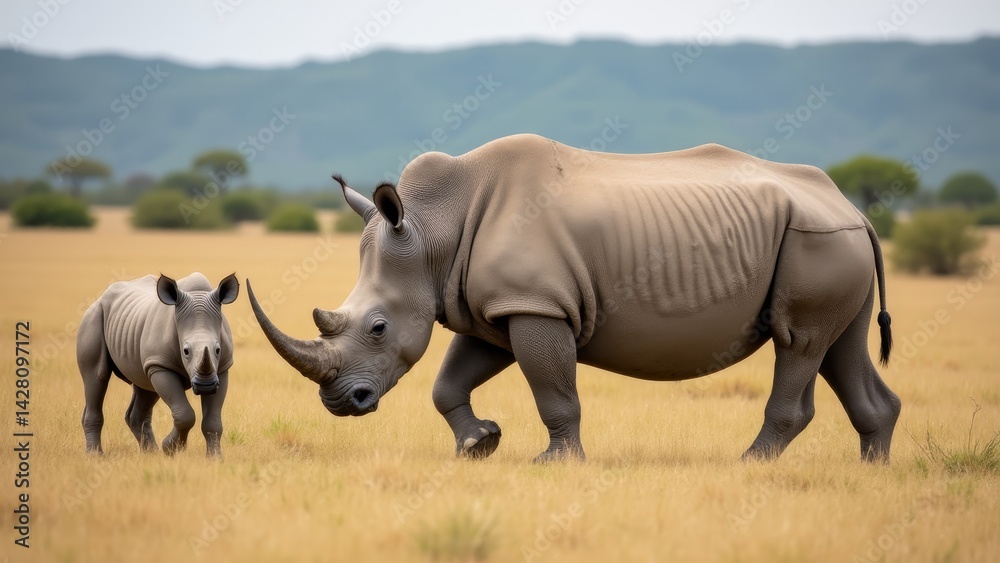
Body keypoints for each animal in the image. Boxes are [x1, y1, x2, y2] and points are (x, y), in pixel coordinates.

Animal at [77, 273, 239, 456]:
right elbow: (185, 414)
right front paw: (171, 449)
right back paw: (95, 456)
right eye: (186, 351)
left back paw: (151, 454)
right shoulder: (160, 365)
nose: (206, 386)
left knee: (145, 387)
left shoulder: (222, 368)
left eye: (218, 350)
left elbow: (213, 420)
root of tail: (98, 299)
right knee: (97, 376)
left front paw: (215, 458)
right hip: (94, 316)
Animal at [248, 134, 901, 463]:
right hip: (830, 240)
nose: (343, 403)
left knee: (801, 342)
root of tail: (851, 206)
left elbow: (554, 390)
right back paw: (872, 471)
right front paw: (479, 445)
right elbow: (449, 380)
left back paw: (749, 465)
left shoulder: (537, 303)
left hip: (817, 241)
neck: (433, 227)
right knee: (838, 346)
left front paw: (556, 463)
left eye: (378, 327)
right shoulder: (500, 306)